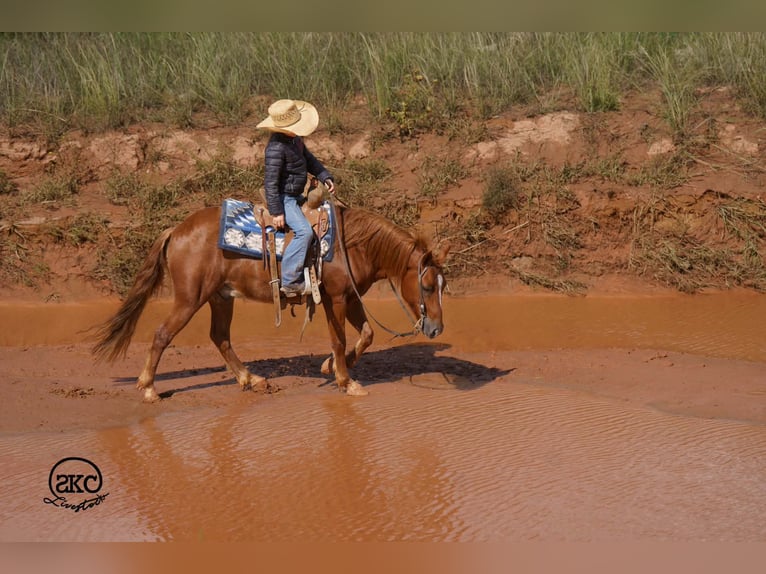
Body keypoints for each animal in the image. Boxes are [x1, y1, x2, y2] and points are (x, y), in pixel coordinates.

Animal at [92, 200, 450, 401]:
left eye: (442, 285)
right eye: (427, 286)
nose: (436, 328)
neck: (352, 245)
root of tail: (176, 230)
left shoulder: (350, 297)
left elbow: (366, 335)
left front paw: (331, 367)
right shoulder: (334, 298)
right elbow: (340, 339)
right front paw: (346, 381)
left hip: (221, 298)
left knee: (220, 337)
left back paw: (251, 379)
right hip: (189, 298)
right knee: (162, 335)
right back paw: (149, 388)